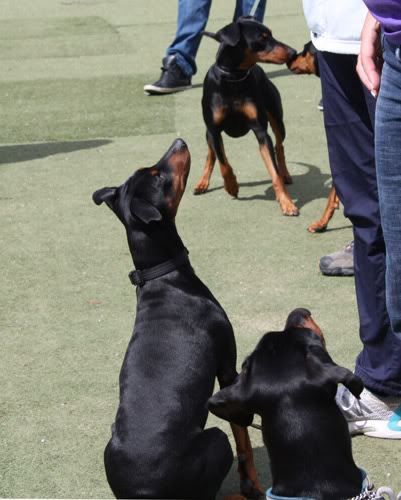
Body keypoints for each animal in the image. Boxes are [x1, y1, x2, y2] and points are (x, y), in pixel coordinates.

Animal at [92, 138, 264, 500]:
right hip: (215, 440)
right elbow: (242, 436)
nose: (179, 141)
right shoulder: (227, 368)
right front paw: (253, 483)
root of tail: (145, 491)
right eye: (157, 176)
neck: (163, 276)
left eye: (150, 170)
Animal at [192, 17, 298, 217]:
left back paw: (286, 174)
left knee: (279, 146)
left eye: (271, 34)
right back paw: (202, 183)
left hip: (277, 120)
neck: (233, 78)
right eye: (262, 37)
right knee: (211, 154)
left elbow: (274, 172)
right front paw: (231, 186)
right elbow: (223, 162)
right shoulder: (214, 129)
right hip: (207, 132)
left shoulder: (261, 131)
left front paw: (287, 203)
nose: (293, 52)